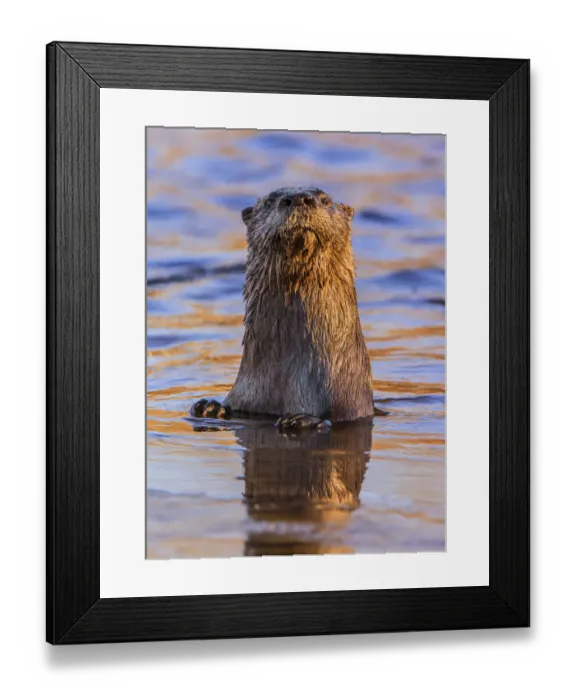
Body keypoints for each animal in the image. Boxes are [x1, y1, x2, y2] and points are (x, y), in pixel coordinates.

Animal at [192, 186, 375, 431]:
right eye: (269, 201)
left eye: (325, 200)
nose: (299, 199)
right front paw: (209, 406)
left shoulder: (350, 406)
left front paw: (301, 419)